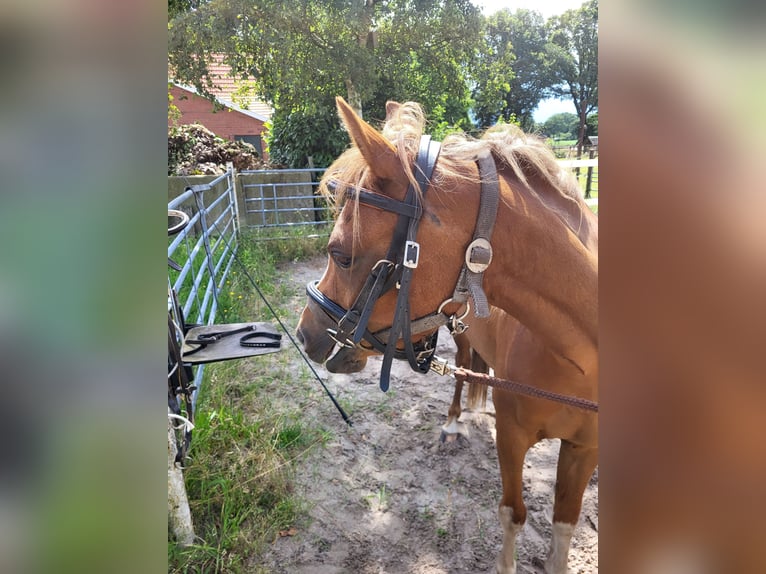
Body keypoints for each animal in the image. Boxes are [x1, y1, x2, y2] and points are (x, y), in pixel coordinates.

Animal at [296, 100, 600, 574]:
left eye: (340, 255)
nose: (304, 334)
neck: (579, 362)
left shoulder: (584, 450)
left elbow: (562, 530)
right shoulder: (512, 438)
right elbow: (514, 514)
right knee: (460, 371)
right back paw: (455, 422)